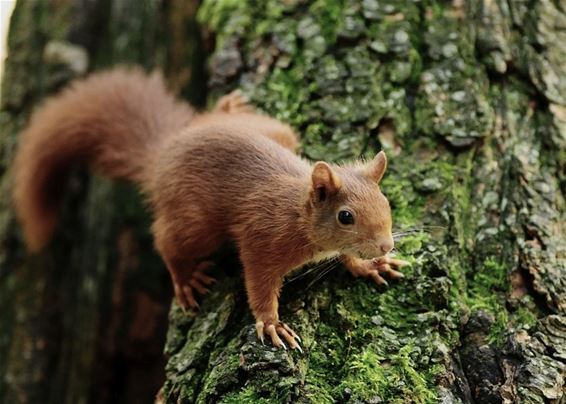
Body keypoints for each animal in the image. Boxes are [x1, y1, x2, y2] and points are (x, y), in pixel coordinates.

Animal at [12, 68, 408, 352]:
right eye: (346, 217)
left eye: (386, 202)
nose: (386, 244)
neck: (299, 214)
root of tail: (163, 153)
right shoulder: (262, 239)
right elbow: (259, 283)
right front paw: (270, 323)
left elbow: (348, 256)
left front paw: (372, 264)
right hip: (197, 224)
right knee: (167, 240)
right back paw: (185, 278)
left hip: (277, 132)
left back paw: (228, 107)